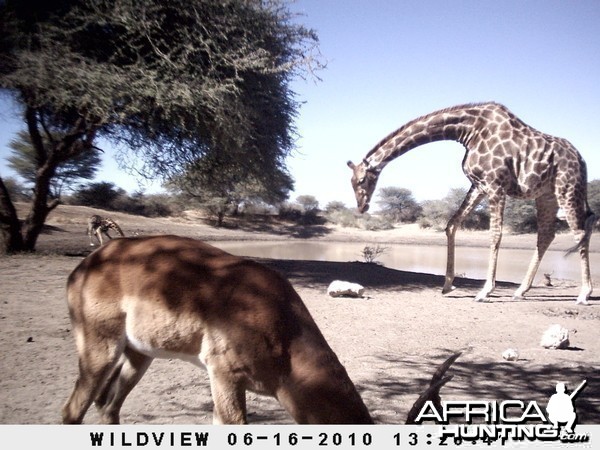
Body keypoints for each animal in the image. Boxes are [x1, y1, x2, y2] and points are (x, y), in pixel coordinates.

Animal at [62, 236, 460, 426]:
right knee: (73, 410)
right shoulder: (223, 376)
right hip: (98, 348)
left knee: (108, 407)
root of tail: (87, 264)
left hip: (138, 354)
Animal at [346, 103, 596, 304]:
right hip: (546, 195)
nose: (362, 207)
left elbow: (495, 235)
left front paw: (485, 291)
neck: (468, 131)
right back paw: (520, 291)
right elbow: (451, 225)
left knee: (579, 231)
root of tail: (582, 159)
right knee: (546, 235)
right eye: (351, 181)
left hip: (567, 188)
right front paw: (447, 285)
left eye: (361, 180)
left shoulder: (496, 185)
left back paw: (584, 293)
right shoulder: (478, 185)